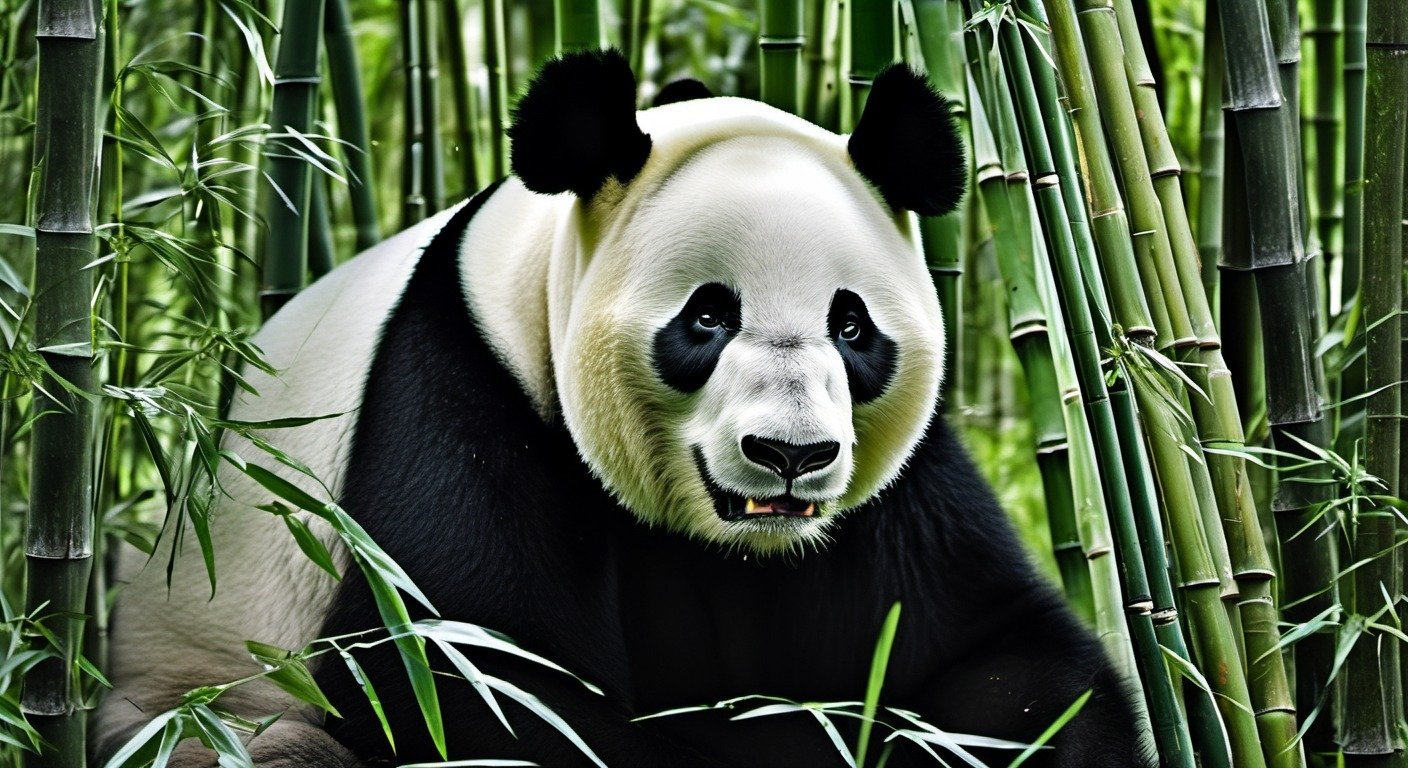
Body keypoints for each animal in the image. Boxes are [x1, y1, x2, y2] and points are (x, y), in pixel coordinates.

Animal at [95, 49, 1151, 768]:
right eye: (708, 317)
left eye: (852, 328)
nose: (791, 455)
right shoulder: (461, 386)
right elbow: (475, 678)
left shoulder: (897, 486)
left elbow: (1004, 657)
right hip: (194, 701)